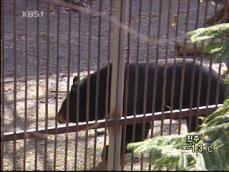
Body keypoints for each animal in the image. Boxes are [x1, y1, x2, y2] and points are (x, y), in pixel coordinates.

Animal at [56, 59, 225, 161]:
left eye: (69, 104)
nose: (59, 117)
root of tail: (222, 82)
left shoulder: (133, 105)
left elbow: (136, 130)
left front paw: (110, 151)